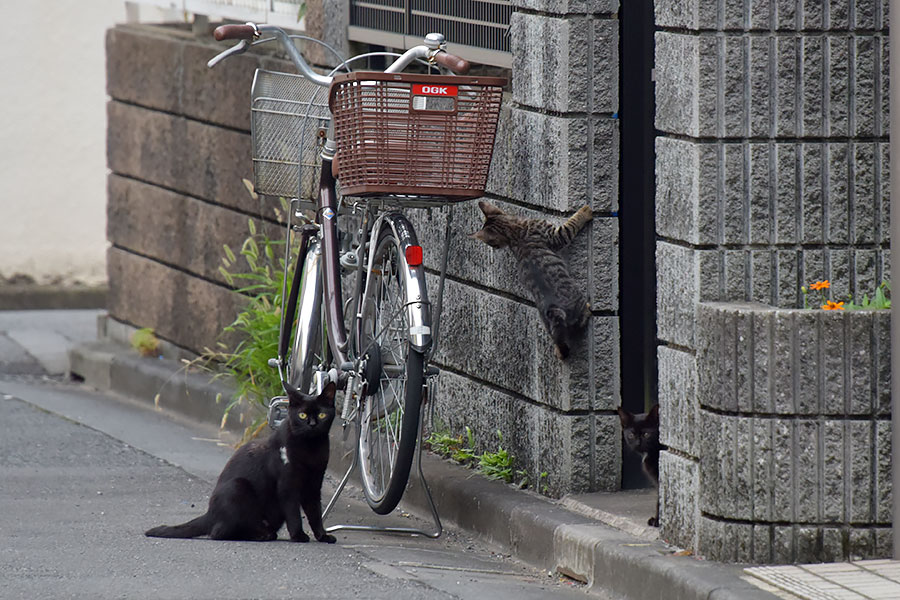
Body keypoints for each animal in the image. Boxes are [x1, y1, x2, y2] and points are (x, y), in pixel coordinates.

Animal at [148, 384, 338, 544]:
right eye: (302, 415)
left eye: (322, 415)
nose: (312, 424)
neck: (311, 448)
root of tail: (210, 513)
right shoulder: (287, 485)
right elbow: (293, 513)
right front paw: (299, 536)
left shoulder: (314, 483)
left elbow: (315, 513)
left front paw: (323, 536)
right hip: (237, 487)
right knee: (218, 533)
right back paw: (261, 535)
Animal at [468, 202, 596, 360]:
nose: (493, 248)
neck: (515, 232)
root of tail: (553, 309)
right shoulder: (555, 235)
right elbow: (571, 224)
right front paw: (585, 210)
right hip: (576, 304)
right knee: (582, 317)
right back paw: (588, 309)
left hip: (548, 326)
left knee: (559, 341)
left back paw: (559, 352)